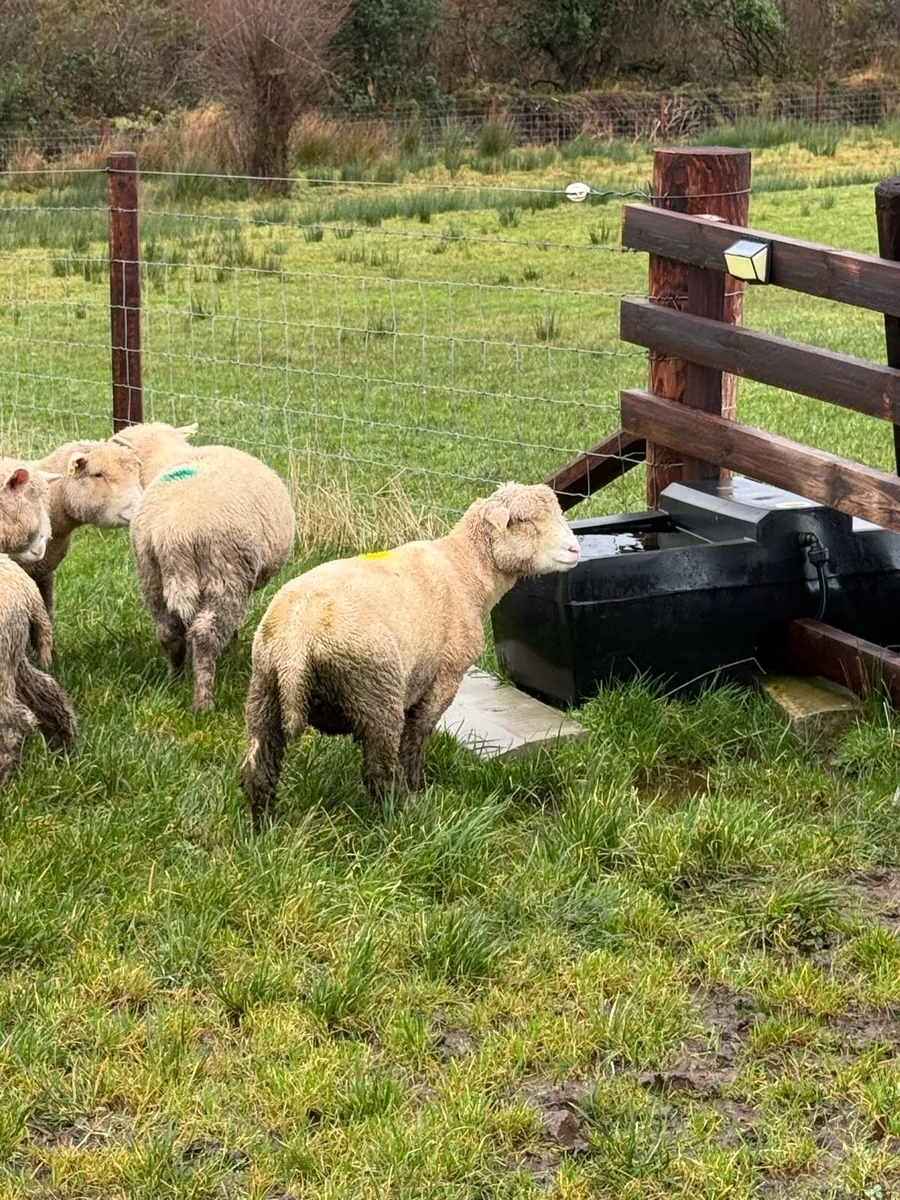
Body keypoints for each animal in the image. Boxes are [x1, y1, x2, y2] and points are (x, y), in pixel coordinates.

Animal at [110, 422, 296, 712]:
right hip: (226, 572)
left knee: (169, 631)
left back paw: (174, 679)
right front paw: (232, 644)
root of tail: (174, 533)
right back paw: (203, 703)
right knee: (206, 634)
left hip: (151, 574)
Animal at [239, 482, 581, 816]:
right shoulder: (445, 676)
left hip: (264, 688)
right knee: (379, 769)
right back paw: (407, 809)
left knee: (258, 767)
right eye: (525, 521)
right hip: (376, 690)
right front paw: (416, 782)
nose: (575, 550)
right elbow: (418, 733)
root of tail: (298, 637)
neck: (464, 569)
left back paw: (263, 822)